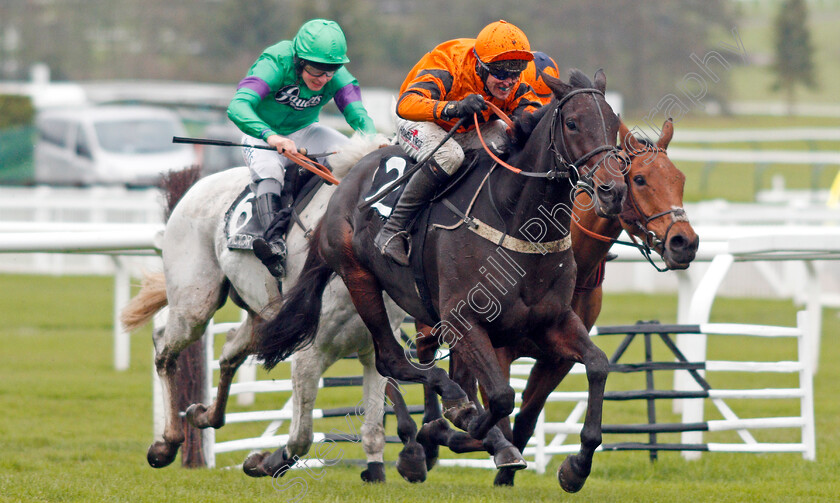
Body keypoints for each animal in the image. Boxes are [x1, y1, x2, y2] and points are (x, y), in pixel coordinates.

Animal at [256, 70, 632, 492]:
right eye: (572, 123)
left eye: (614, 125)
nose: (613, 191)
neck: (515, 220)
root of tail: (350, 174)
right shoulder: (463, 320)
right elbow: (500, 398)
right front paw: (458, 430)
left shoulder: (553, 321)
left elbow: (598, 365)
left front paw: (576, 466)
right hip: (360, 278)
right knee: (392, 360)